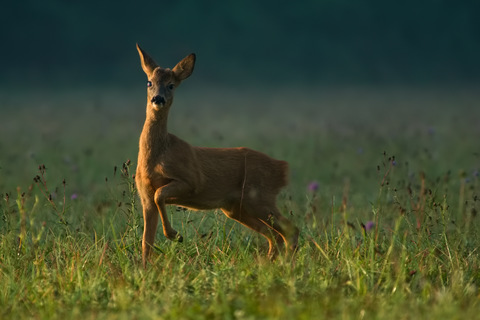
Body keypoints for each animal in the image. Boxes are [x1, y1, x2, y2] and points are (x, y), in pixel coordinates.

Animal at [135, 43, 298, 266]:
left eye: (171, 85)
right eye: (149, 82)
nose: (157, 99)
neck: (158, 155)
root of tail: (282, 167)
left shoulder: (191, 180)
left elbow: (161, 195)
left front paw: (175, 235)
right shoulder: (145, 196)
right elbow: (146, 242)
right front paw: (144, 269)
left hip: (259, 197)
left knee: (290, 229)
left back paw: (287, 263)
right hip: (237, 208)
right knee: (274, 234)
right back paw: (271, 263)